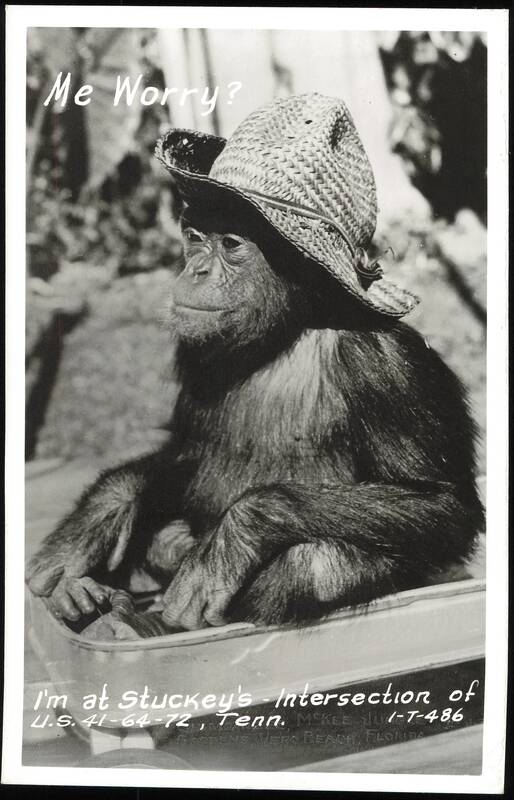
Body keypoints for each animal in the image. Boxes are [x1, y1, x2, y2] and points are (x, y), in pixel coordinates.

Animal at [26, 197, 484, 630]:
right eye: (194, 237)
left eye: (231, 245)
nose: (196, 270)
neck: (283, 332)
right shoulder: (192, 350)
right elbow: (185, 448)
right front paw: (100, 516)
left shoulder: (388, 364)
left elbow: (442, 503)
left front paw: (235, 538)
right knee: (166, 536)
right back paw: (98, 600)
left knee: (313, 566)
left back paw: (128, 621)